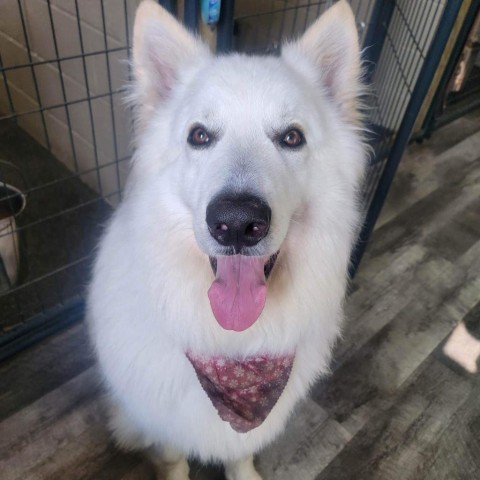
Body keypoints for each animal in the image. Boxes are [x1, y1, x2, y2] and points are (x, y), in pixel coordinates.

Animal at [87, 1, 364, 478]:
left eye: (292, 137)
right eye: (199, 136)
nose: (236, 222)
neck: (233, 345)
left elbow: (241, 453)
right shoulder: (164, 422)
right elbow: (173, 457)